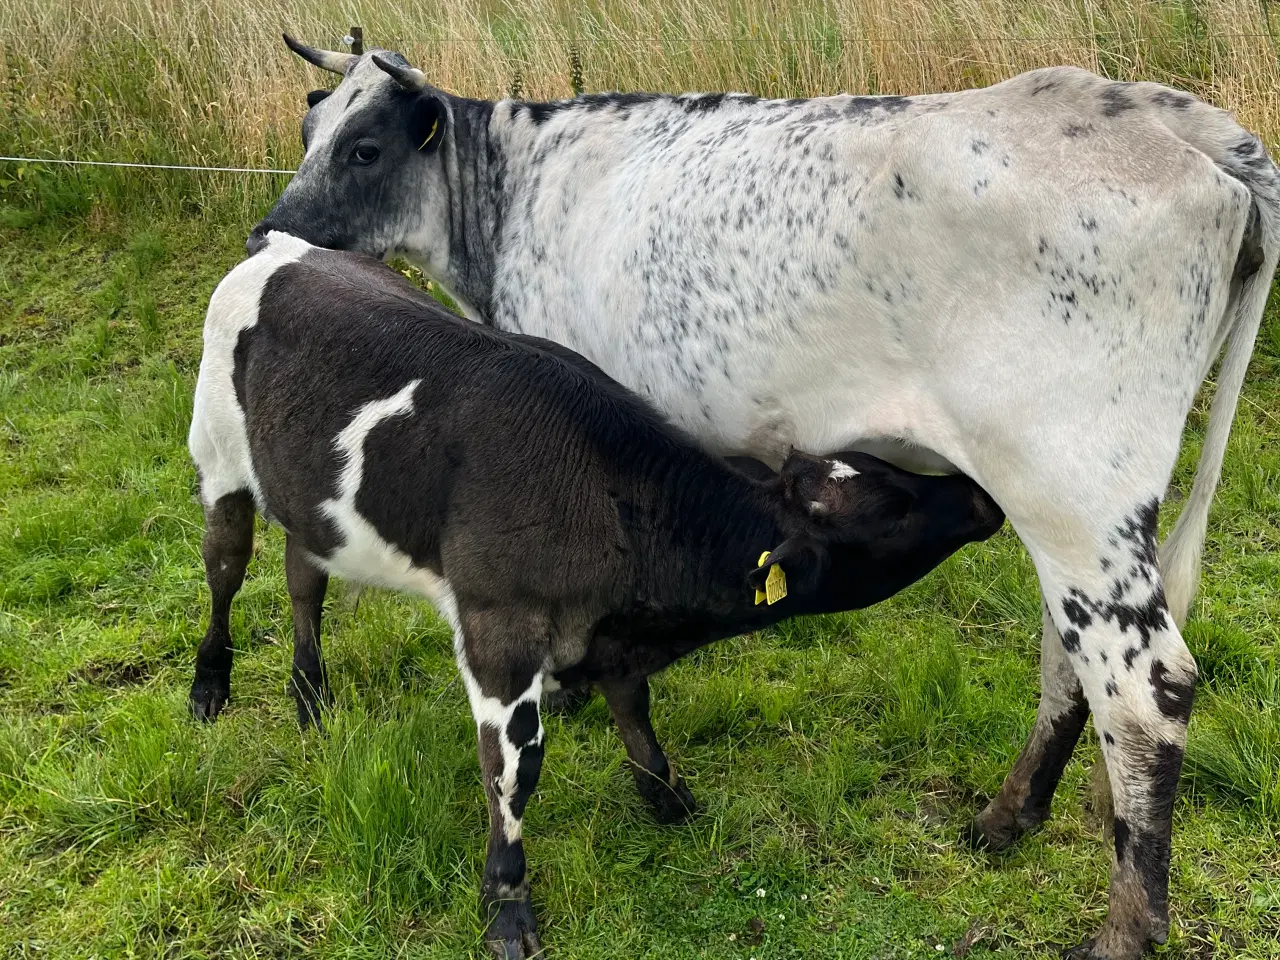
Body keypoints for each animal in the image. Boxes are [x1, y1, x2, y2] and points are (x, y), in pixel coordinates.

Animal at [186, 235, 1008, 960]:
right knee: (226, 567)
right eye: (894, 507)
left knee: (304, 579)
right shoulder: (500, 627)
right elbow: (514, 770)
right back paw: (209, 685)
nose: (981, 495)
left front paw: (667, 797)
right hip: (217, 455)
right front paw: (507, 909)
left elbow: (633, 707)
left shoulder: (611, 631)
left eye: (886, 469)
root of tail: (285, 246)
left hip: (311, 500)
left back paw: (310, 696)